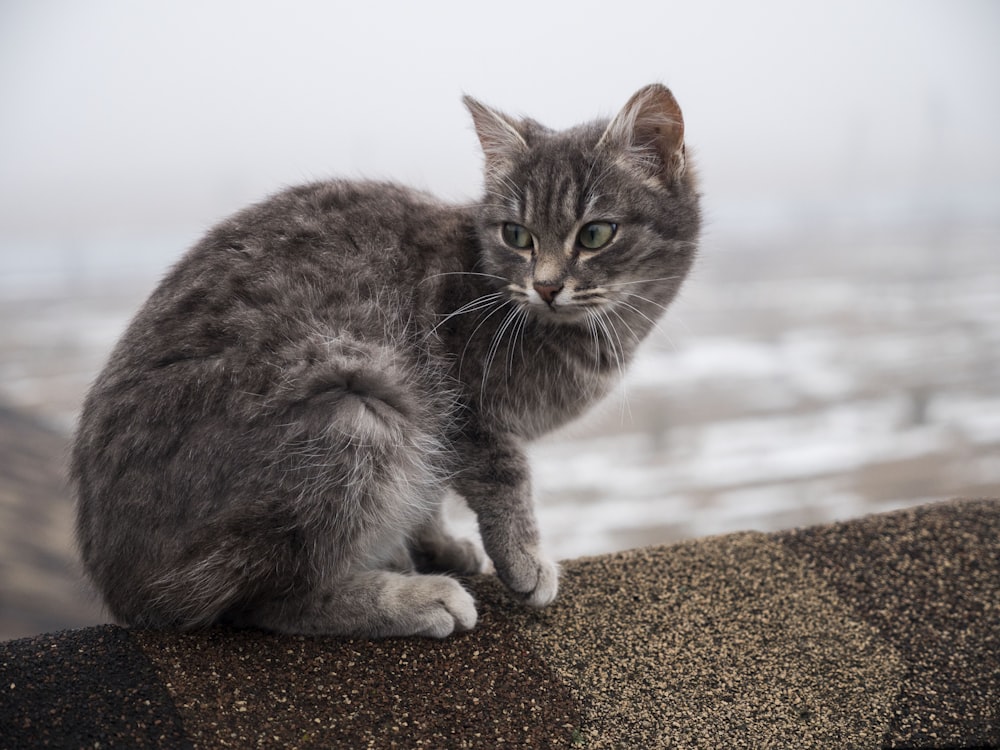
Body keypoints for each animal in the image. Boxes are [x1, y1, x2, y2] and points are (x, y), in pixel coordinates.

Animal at [70, 86, 700, 640]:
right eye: (517, 235)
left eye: (595, 234)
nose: (545, 286)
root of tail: (123, 588)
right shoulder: (462, 404)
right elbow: (504, 480)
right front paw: (524, 561)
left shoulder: (441, 426)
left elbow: (433, 490)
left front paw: (438, 544)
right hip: (358, 408)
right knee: (265, 600)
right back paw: (414, 601)